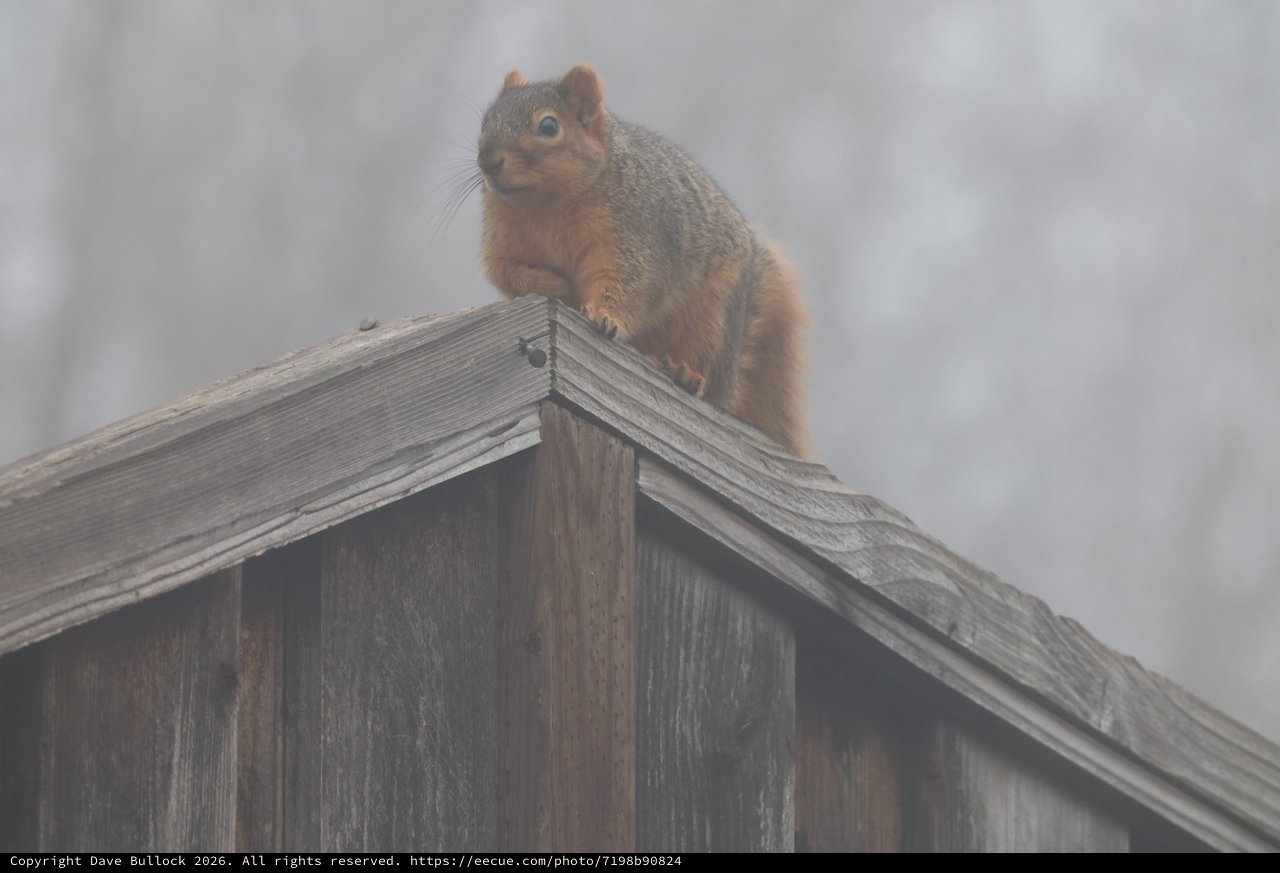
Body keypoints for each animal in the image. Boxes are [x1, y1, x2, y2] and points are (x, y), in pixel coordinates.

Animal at [477, 64, 810, 458]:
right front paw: (558, 286)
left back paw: (687, 373)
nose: (488, 161)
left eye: (548, 126)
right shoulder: (502, 246)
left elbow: (633, 283)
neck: (544, 206)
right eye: (485, 121)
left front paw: (605, 316)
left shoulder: (636, 235)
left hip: (713, 323)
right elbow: (509, 275)